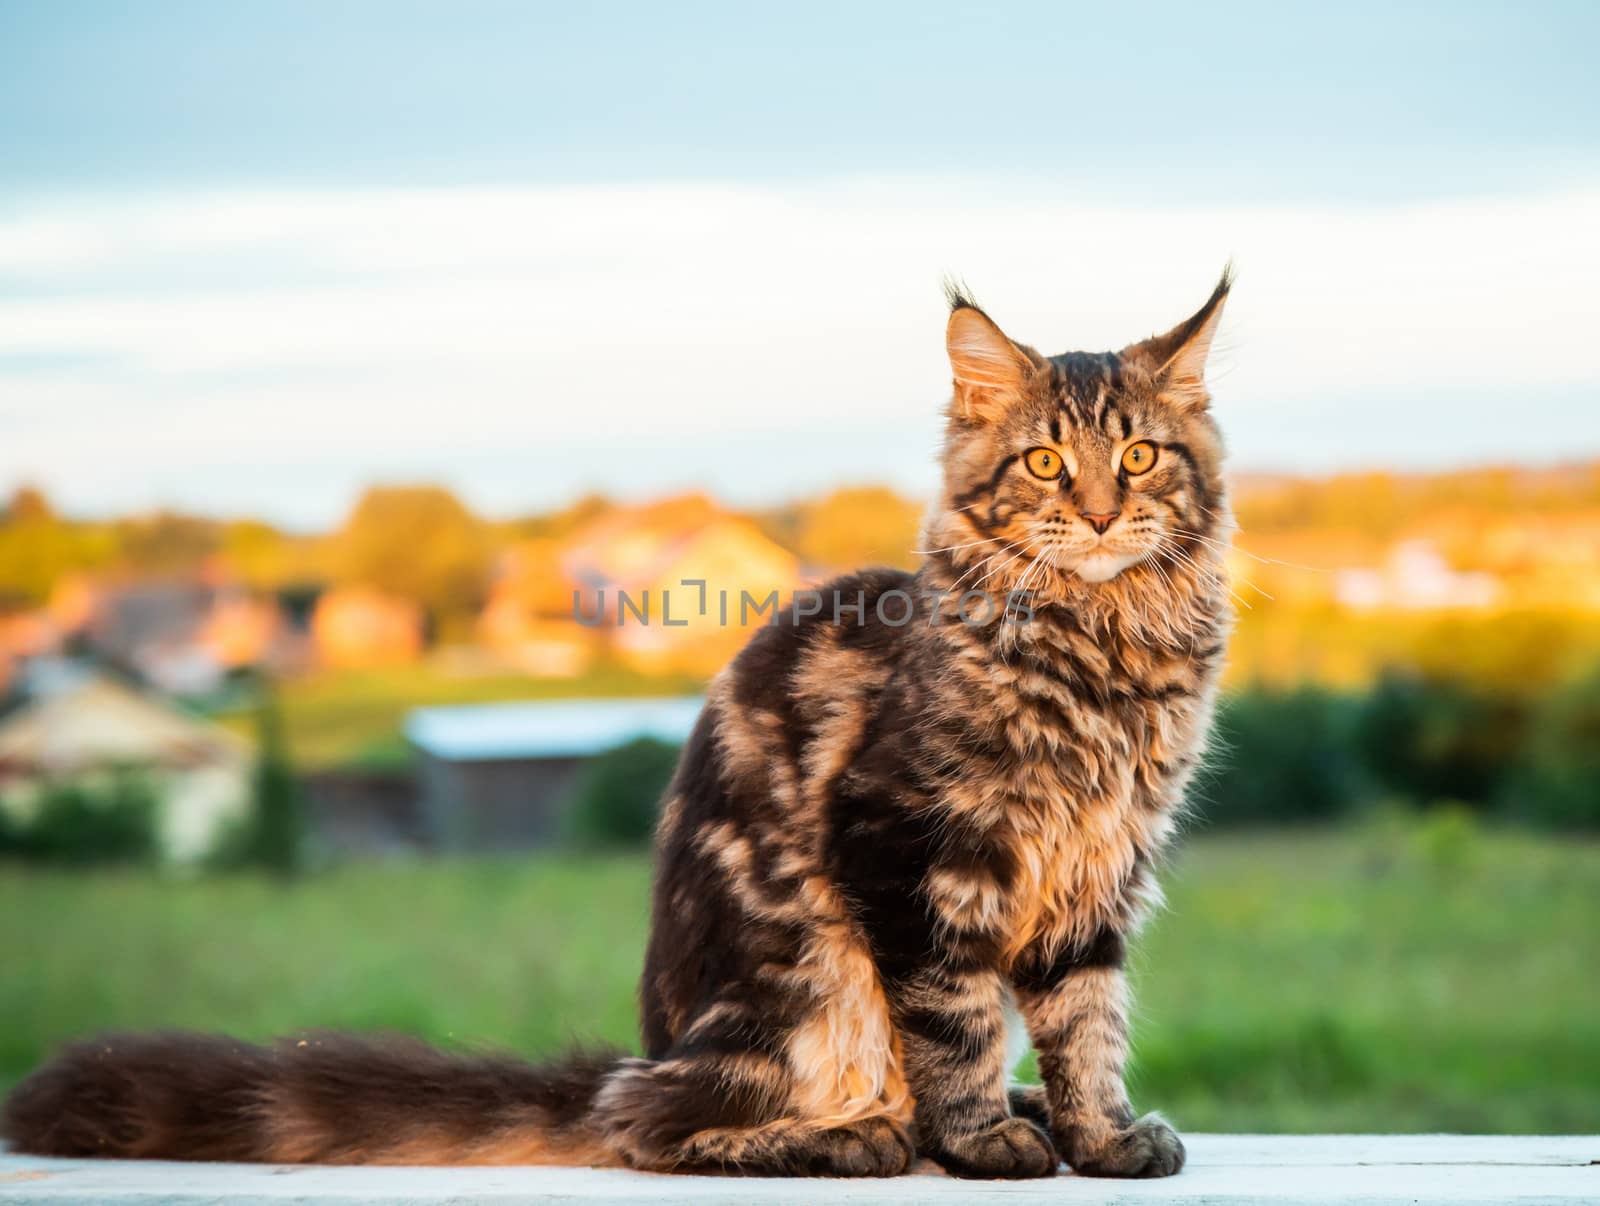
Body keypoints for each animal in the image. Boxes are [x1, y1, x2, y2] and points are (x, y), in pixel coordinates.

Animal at [3, 270, 1235, 1177]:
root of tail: (657, 1041)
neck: (1101, 650)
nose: (1099, 513)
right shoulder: (908, 852)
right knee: (647, 1123)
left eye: (1136, 456)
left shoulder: (1101, 874)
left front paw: (1096, 1136)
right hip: (809, 981)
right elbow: (958, 1018)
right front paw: (982, 1142)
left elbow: (1086, 1023)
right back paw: (860, 1139)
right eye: (1044, 461)